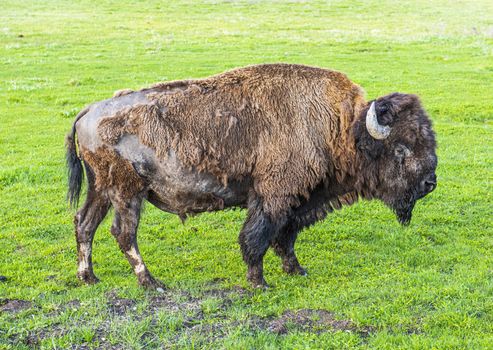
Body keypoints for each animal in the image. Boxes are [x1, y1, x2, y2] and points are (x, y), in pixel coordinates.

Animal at [64, 64, 434, 288]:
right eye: (401, 148)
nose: (430, 183)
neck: (343, 127)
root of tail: (89, 110)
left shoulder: (297, 202)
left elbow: (285, 237)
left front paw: (296, 270)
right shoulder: (273, 197)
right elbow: (258, 236)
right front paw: (259, 281)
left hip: (101, 189)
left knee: (85, 224)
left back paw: (89, 278)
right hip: (128, 192)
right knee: (123, 233)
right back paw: (152, 283)